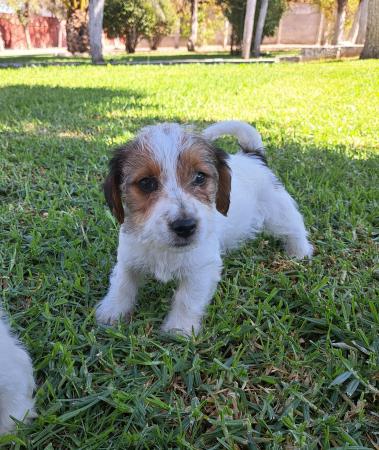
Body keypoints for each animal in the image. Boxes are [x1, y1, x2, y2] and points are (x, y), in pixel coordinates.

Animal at [96, 121, 314, 336]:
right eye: (146, 183)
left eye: (200, 177)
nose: (185, 226)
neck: (165, 248)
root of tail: (253, 156)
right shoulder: (128, 258)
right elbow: (122, 285)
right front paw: (111, 313)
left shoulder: (201, 269)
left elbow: (187, 299)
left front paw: (178, 328)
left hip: (278, 213)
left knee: (295, 226)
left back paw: (299, 252)